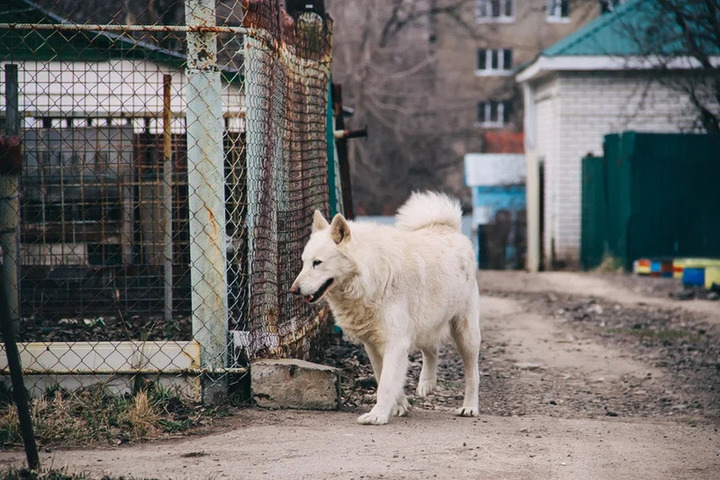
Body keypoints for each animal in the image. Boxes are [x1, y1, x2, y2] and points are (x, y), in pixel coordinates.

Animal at [290, 191, 480, 424]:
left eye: (317, 262)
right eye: (304, 262)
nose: (294, 290)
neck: (368, 276)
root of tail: (448, 228)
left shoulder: (395, 343)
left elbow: (386, 384)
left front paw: (377, 415)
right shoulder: (373, 345)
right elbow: (383, 378)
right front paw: (398, 406)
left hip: (466, 334)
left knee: (472, 373)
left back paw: (469, 407)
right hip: (425, 324)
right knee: (431, 349)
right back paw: (427, 384)